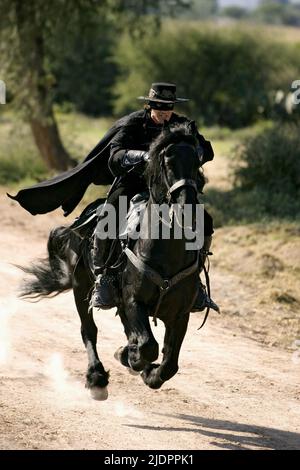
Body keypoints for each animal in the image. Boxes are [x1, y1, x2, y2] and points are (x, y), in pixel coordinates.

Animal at [20, 125, 204, 400]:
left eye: (197, 161)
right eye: (167, 161)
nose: (187, 206)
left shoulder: (180, 313)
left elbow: (170, 362)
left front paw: (147, 371)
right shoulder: (133, 300)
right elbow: (148, 346)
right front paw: (133, 359)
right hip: (81, 287)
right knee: (89, 331)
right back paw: (97, 378)